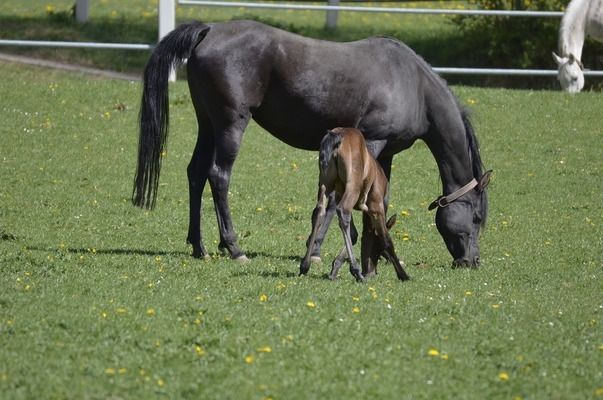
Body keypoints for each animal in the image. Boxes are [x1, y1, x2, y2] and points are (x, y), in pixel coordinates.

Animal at [298, 128, 408, 282]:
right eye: (378, 249)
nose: (371, 272)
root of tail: (337, 136)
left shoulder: (339, 195)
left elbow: (353, 234)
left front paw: (334, 268)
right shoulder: (376, 208)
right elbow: (386, 239)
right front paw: (403, 274)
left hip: (325, 183)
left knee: (319, 212)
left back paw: (305, 265)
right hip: (352, 187)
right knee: (343, 211)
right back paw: (356, 271)